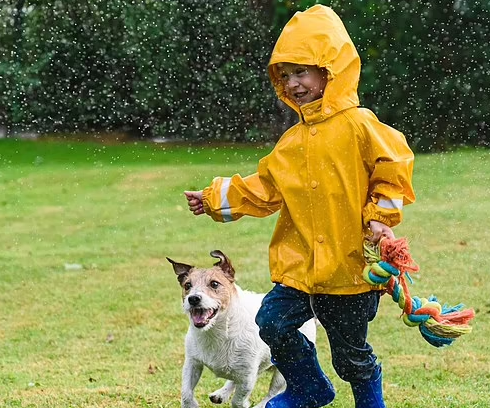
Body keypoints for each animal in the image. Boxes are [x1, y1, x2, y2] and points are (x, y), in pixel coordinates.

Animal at [167, 249, 316, 408]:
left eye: (214, 284)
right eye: (187, 285)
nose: (193, 299)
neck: (218, 331)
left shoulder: (247, 376)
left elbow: (238, 400)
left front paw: (243, 404)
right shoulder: (192, 363)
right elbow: (186, 393)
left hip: (284, 367)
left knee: (273, 392)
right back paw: (221, 393)